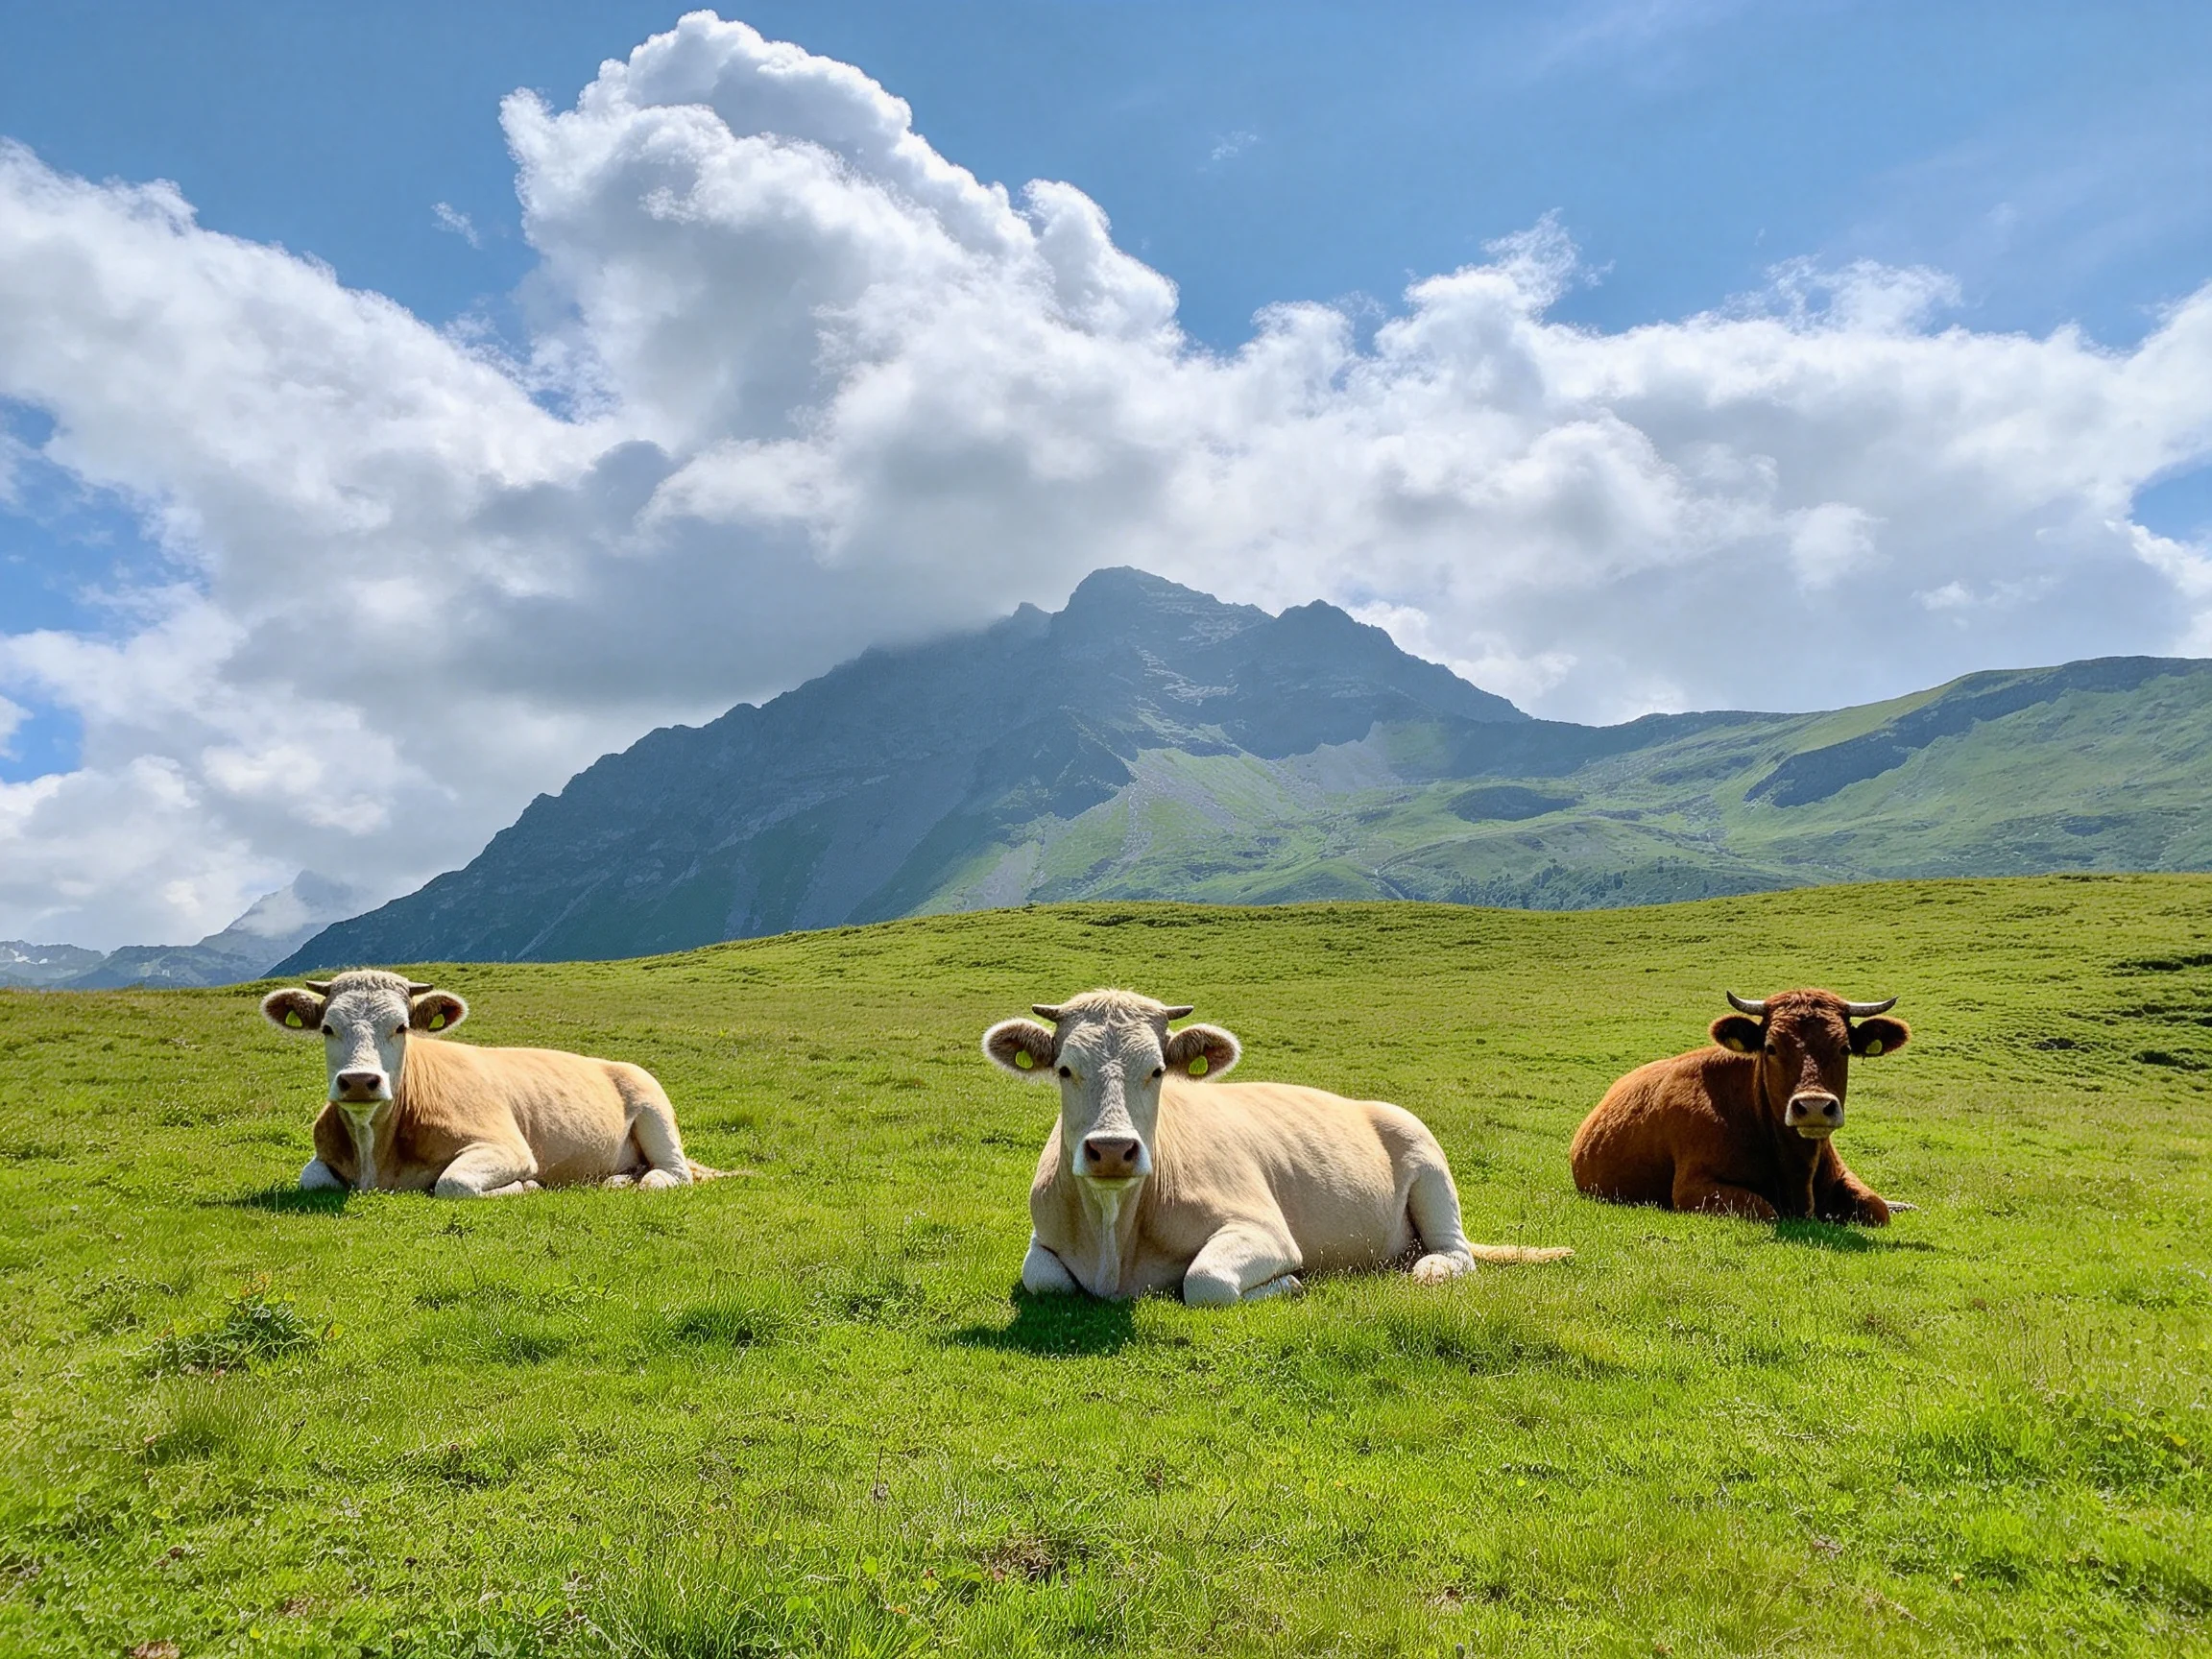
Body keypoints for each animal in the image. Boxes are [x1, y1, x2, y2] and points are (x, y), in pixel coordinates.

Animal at [260, 968, 711, 1198]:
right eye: (327, 1028)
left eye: (401, 1027)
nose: (358, 1081)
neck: (377, 1160)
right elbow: (310, 1178)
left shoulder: (507, 1146)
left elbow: (452, 1183)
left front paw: (526, 1185)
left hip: (654, 1109)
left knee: (670, 1173)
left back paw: (637, 1181)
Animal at [983, 988, 1571, 1305]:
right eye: (1065, 1069)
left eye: (1156, 1070)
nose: (1110, 1150)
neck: (1114, 1240)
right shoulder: (1042, 1239)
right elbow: (1045, 1281)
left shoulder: (1263, 1228)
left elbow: (1206, 1281)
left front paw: (1288, 1282)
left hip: (1427, 1160)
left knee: (1455, 1253)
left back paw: (1429, 1268)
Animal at [1569, 989, 1910, 1224]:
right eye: (1771, 1047)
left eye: (1844, 1048)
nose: (1814, 1106)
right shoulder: (1694, 1186)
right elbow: (1765, 1210)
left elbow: (1877, 1207)